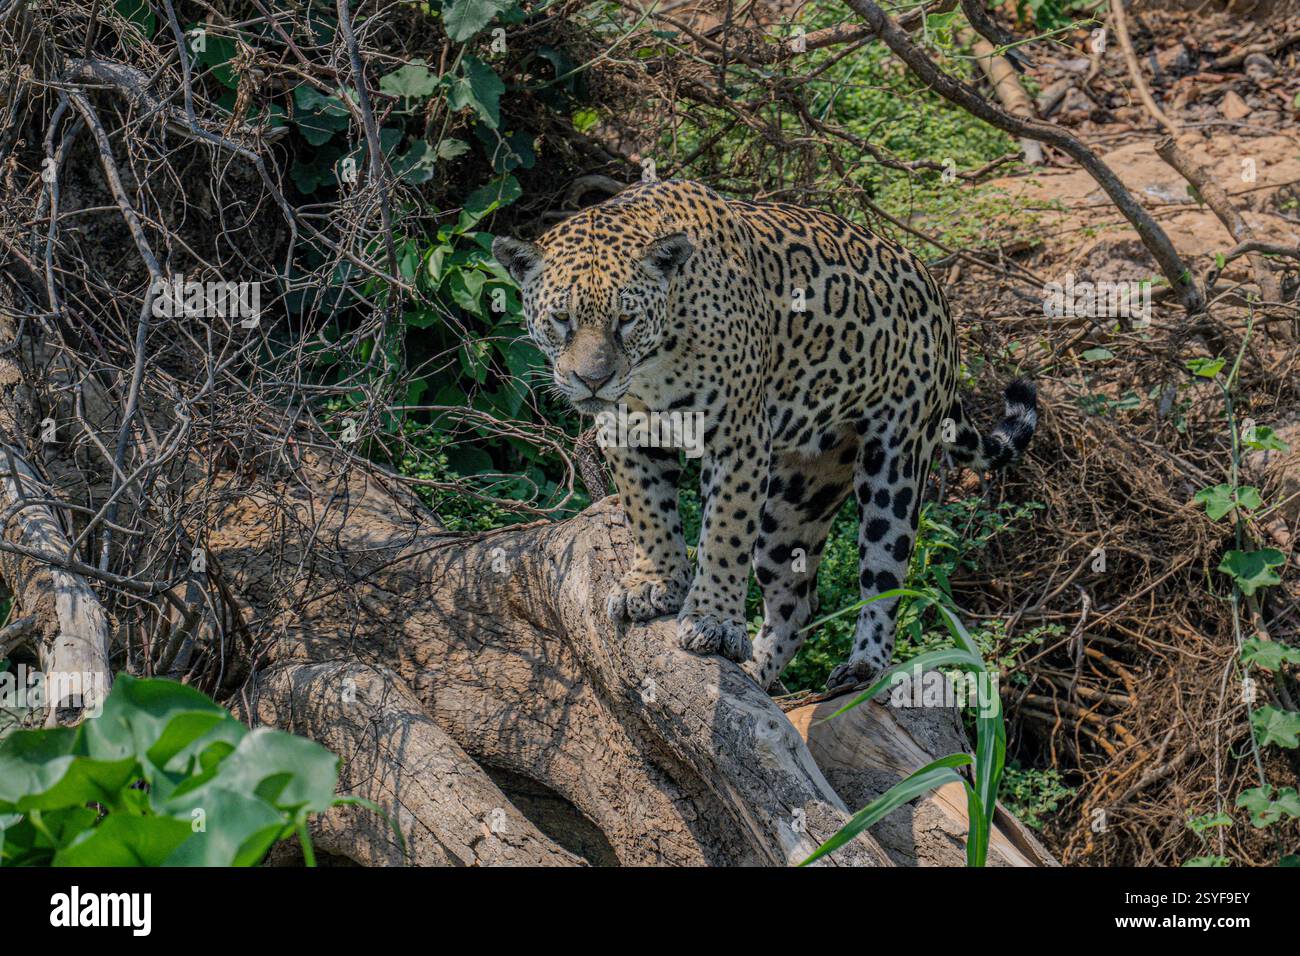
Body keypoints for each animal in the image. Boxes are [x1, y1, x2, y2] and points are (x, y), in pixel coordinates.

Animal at [493, 179, 1036, 692]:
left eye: (625, 320)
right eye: (561, 318)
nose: (592, 380)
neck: (655, 361)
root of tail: (939, 296)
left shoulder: (739, 437)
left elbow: (724, 532)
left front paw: (712, 621)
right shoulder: (627, 431)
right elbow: (648, 511)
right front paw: (653, 584)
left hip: (895, 463)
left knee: (886, 578)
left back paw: (863, 666)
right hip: (799, 495)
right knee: (797, 602)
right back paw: (756, 672)